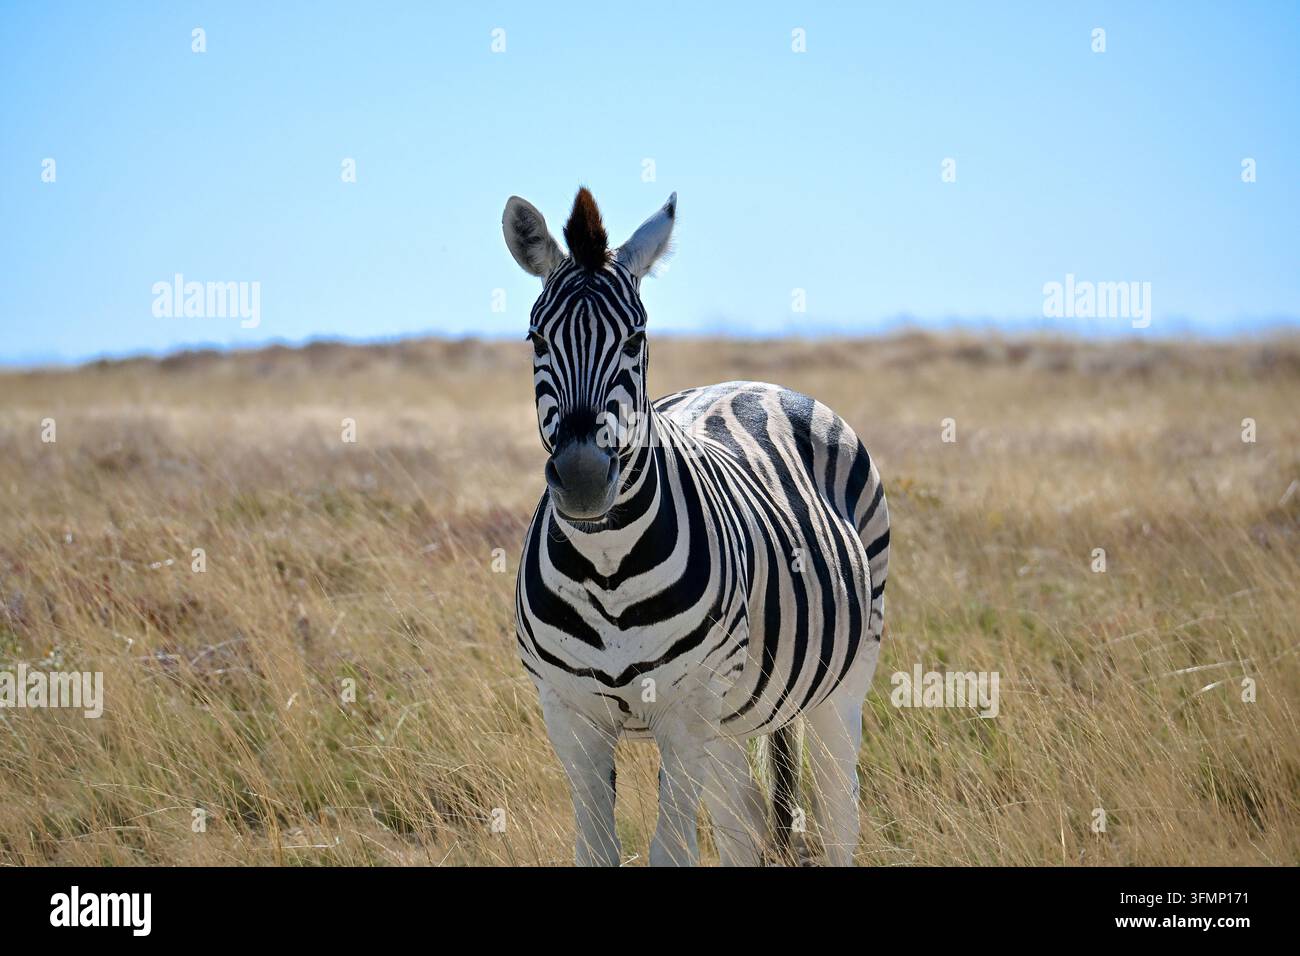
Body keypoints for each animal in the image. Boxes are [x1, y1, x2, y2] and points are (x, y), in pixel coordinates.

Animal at [503, 188, 890, 866]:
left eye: (636, 337)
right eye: (535, 336)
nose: (582, 479)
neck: (606, 563)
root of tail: (750, 382)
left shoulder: (685, 709)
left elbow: (672, 851)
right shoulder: (569, 713)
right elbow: (597, 851)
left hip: (842, 679)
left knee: (840, 810)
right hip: (733, 718)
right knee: (745, 823)